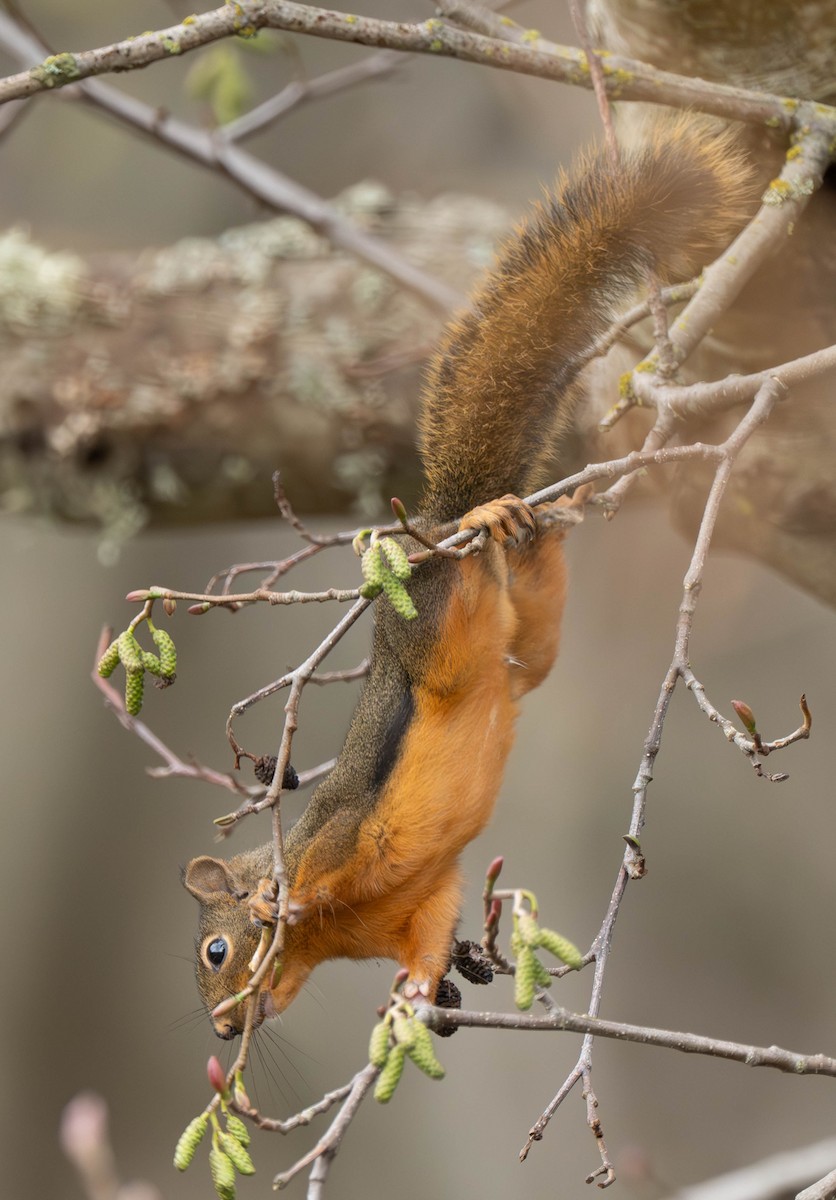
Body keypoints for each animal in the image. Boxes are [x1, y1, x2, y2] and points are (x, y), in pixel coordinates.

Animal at [184, 117, 752, 1038]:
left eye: (215, 951)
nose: (225, 1032)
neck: (335, 934)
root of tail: (438, 523)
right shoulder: (426, 902)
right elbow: (429, 938)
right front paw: (421, 995)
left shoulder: (337, 828)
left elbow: (315, 859)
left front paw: (276, 902)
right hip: (522, 646)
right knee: (533, 615)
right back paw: (532, 521)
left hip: (432, 613)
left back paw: (489, 517)